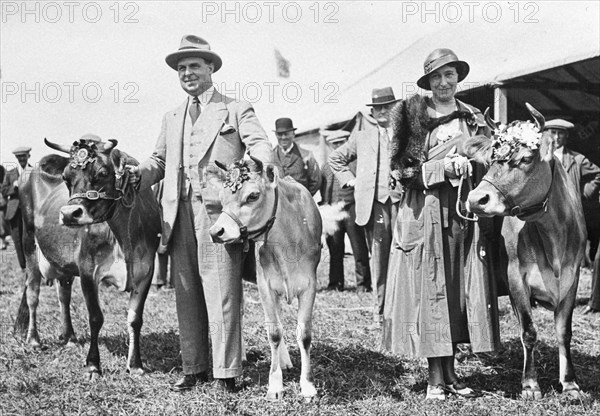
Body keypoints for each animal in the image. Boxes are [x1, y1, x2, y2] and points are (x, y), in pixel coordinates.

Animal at [42, 139, 161, 376]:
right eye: (65, 177)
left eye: (103, 173)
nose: (69, 214)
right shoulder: (88, 270)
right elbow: (96, 317)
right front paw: (93, 364)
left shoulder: (146, 271)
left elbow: (135, 319)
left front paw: (135, 365)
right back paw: (30, 336)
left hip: (64, 266)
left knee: (64, 296)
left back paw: (70, 337)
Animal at [210, 156, 324, 400]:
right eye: (222, 198)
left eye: (253, 195)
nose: (216, 231)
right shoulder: (265, 285)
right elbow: (273, 332)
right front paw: (275, 385)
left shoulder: (310, 285)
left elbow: (304, 335)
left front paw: (308, 386)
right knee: (241, 312)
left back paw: (285, 360)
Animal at [464, 104, 584, 400]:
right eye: (493, 159)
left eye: (527, 158)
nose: (476, 199)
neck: (553, 238)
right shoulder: (516, 276)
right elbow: (529, 331)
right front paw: (530, 385)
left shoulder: (572, 278)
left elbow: (564, 331)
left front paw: (570, 383)